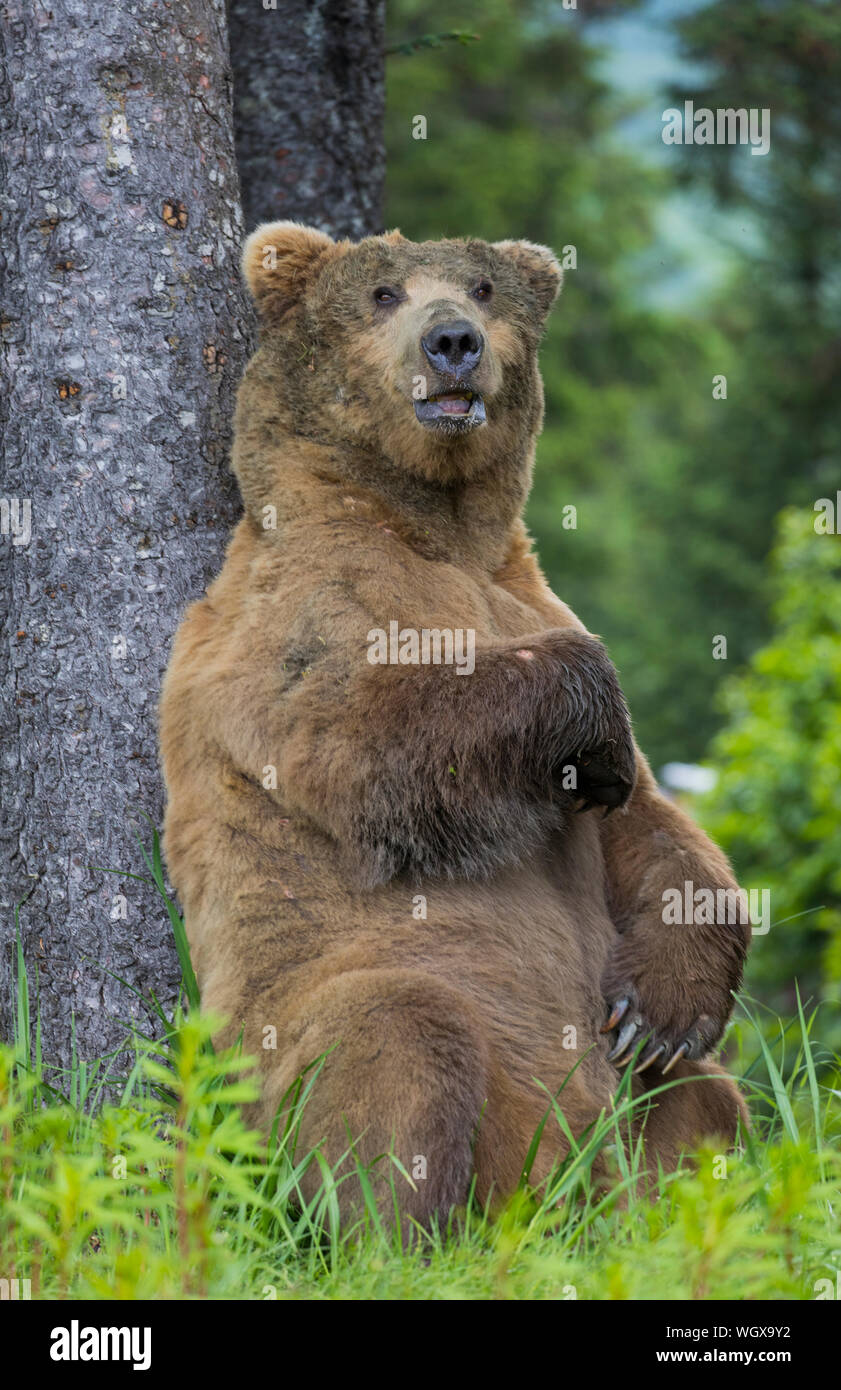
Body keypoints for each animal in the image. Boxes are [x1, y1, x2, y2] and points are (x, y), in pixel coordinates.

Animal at [157, 219, 745, 1228]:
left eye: (482, 286)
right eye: (383, 292)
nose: (452, 342)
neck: (436, 524)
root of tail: (546, 1186)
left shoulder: (521, 587)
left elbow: (652, 827)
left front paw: (662, 1010)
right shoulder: (293, 612)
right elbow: (367, 736)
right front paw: (589, 696)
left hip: (619, 1121)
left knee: (706, 1105)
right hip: (274, 1067)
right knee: (397, 1038)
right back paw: (400, 1232)